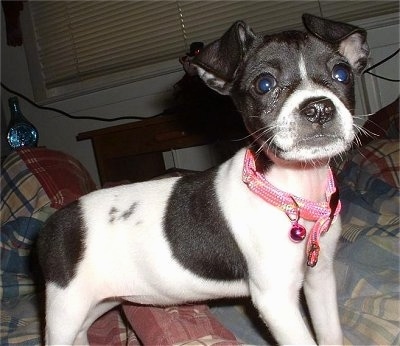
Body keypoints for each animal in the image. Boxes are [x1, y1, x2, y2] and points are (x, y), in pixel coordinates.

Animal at [37, 14, 368, 346]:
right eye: (264, 84)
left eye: (342, 74)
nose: (319, 108)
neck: (291, 193)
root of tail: (54, 222)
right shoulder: (275, 299)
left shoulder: (319, 279)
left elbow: (330, 334)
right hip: (66, 307)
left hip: (99, 302)